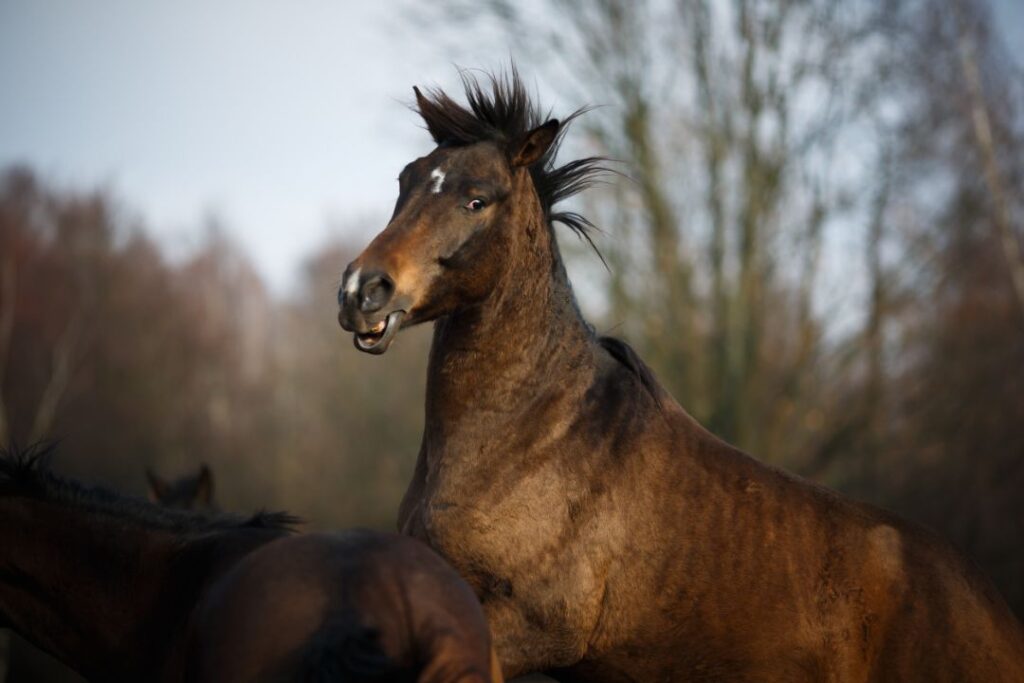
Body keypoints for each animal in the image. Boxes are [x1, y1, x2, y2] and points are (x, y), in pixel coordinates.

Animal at [336, 69, 1024, 681]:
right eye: (406, 182)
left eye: (476, 200)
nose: (361, 291)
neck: (528, 438)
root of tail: (994, 612)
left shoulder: (528, 631)